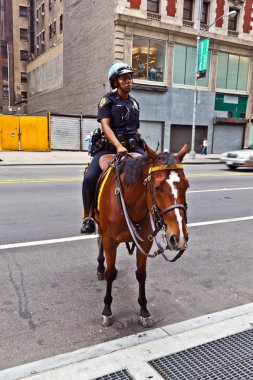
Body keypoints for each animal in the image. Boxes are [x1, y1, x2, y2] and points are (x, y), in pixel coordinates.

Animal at [94, 144, 189, 328]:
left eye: (186, 186)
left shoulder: (145, 243)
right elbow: (111, 273)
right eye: (157, 187)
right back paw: (100, 267)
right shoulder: (110, 241)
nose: (179, 238)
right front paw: (107, 310)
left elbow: (141, 274)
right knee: (99, 242)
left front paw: (144, 310)